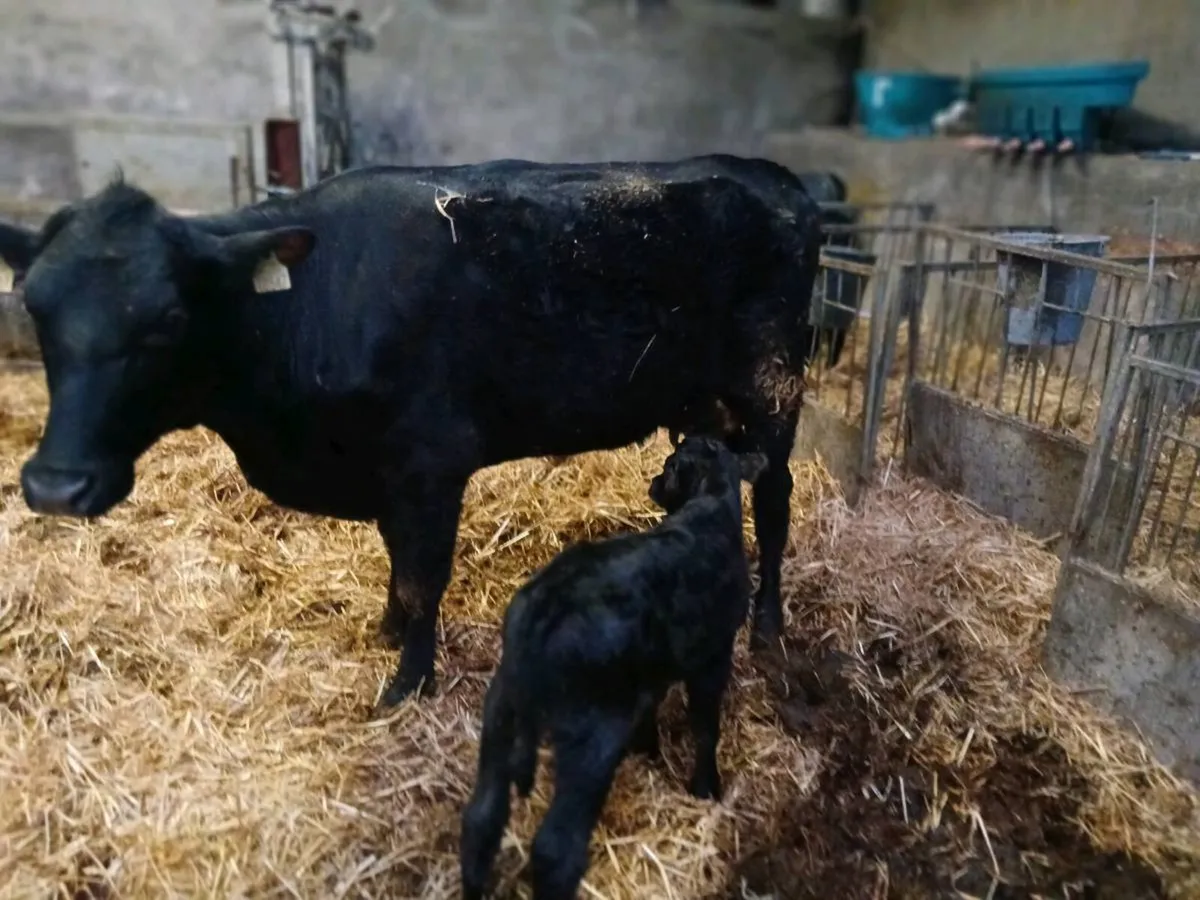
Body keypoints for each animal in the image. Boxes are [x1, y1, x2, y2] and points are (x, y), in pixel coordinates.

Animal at [0, 153, 821, 709]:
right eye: (33, 305)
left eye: (168, 319)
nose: (55, 485)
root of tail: (766, 174)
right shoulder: (386, 471)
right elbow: (397, 563)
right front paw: (390, 630)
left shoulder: (430, 461)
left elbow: (424, 576)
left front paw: (407, 684)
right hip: (703, 407)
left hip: (774, 389)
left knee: (776, 505)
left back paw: (768, 628)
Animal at [460, 435, 766, 900]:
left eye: (668, 466)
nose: (653, 481)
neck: (710, 505)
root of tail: (544, 608)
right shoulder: (713, 656)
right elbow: (705, 726)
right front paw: (705, 787)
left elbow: (654, 708)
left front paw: (648, 750)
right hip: (591, 732)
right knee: (555, 848)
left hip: (501, 708)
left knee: (481, 820)